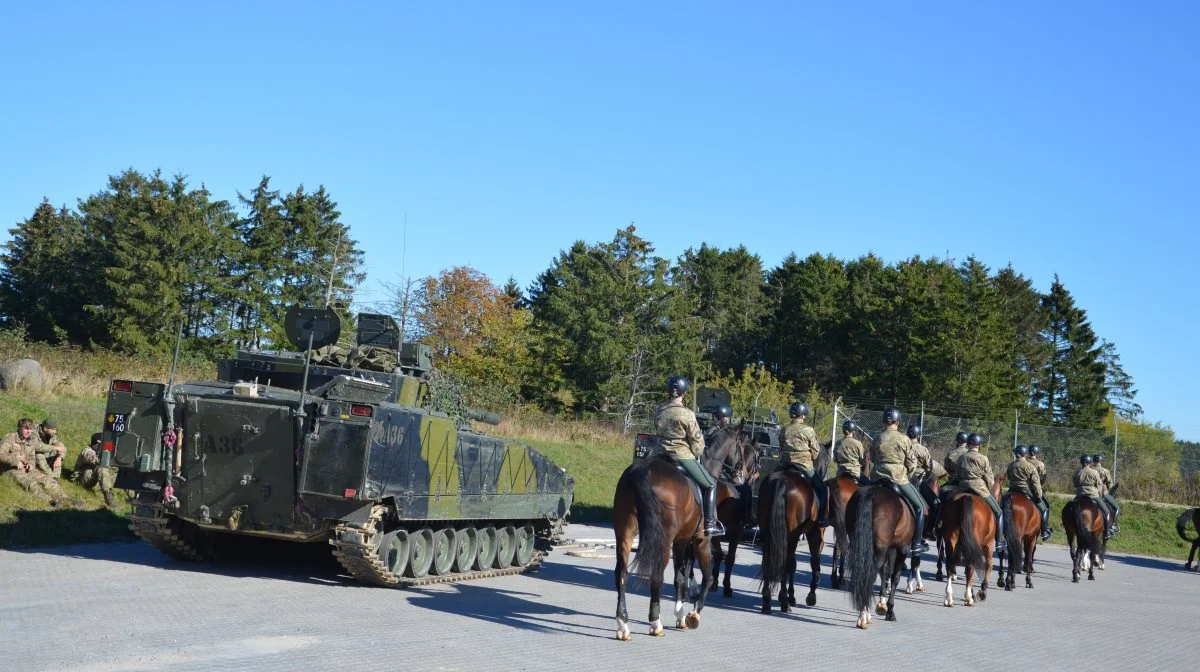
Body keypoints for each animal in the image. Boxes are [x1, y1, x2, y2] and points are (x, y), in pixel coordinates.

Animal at [753, 441, 830, 614]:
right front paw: (808, 595)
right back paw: (784, 602)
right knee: (787, 562)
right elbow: (813, 562)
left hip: (767, 530)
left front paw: (790, 596)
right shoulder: (815, 533)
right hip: (792, 535)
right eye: (828, 460)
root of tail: (782, 481)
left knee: (769, 558)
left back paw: (767, 601)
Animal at [844, 482, 916, 628]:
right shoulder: (903, 548)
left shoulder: (888, 548)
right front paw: (890, 611)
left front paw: (882, 605)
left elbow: (885, 573)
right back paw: (863, 617)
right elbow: (895, 577)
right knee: (869, 577)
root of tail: (870, 494)